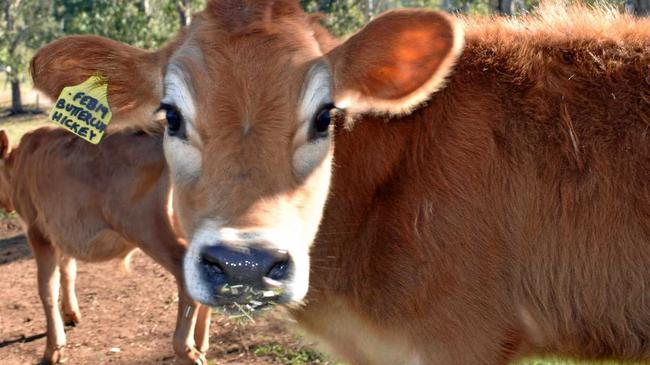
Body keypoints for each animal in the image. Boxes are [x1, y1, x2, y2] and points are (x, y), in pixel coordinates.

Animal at [0, 126, 210, 362]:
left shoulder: (38, 233)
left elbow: (47, 287)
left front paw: (53, 348)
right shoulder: (62, 234)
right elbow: (68, 272)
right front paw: (71, 313)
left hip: (147, 228)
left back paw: (185, 348)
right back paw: (201, 341)